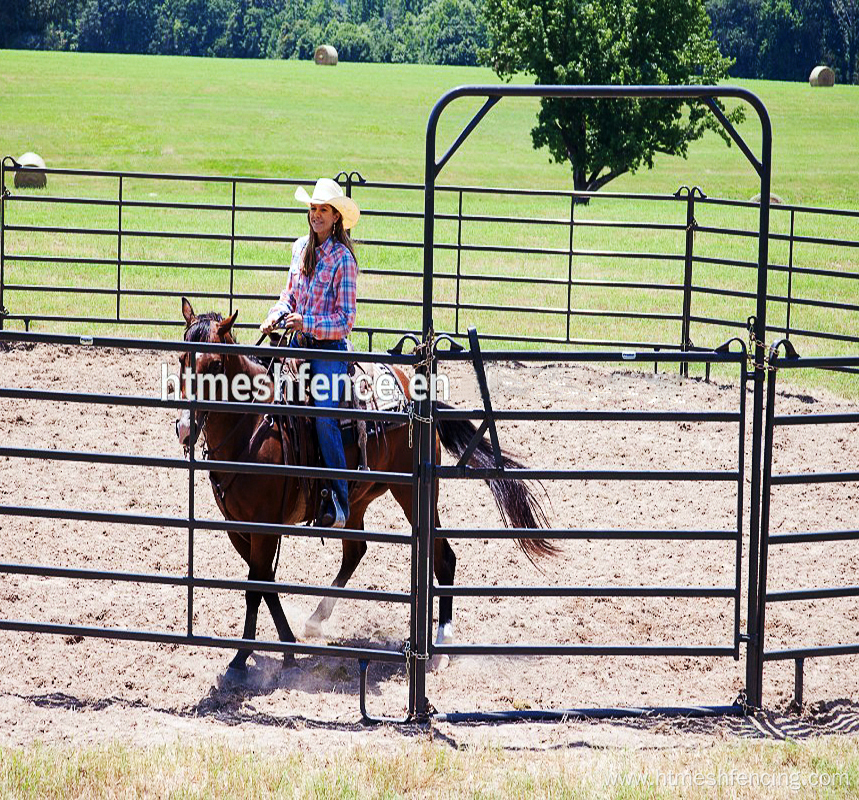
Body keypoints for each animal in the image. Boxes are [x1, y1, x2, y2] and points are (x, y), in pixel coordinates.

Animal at [175, 296, 556, 680]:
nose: (184, 429)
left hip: (413, 495)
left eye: (215, 363)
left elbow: (256, 588)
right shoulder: (237, 528)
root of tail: (416, 393)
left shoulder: (264, 527)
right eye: (181, 359)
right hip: (357, 498)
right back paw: (316, 618)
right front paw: (287, 648)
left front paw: (241, 659)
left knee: (443, 557)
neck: (252, 426)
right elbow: (264, 581)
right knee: (355, 550)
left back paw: (441, 645)